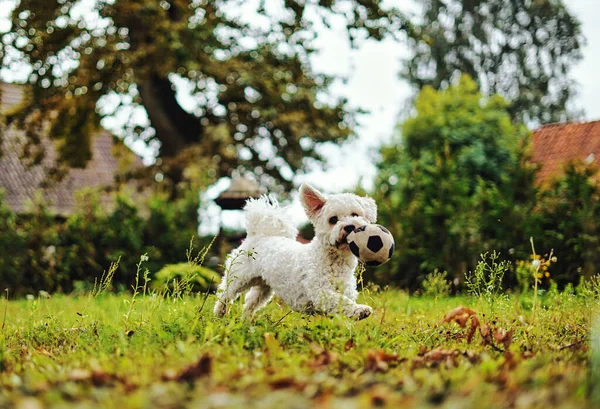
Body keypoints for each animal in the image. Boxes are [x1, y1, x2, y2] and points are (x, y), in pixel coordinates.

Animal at [213, 183, 378, 320]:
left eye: (355, 214)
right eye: (333, 220)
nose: (349, 226)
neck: (334, 260)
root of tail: (257, 234)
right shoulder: (320, 292)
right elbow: (342, 302)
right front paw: (360, 310)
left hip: (263, 287)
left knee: (250, 302)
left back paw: (246, 321)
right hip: (237, 277)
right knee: (224, 294)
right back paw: (219, 314)